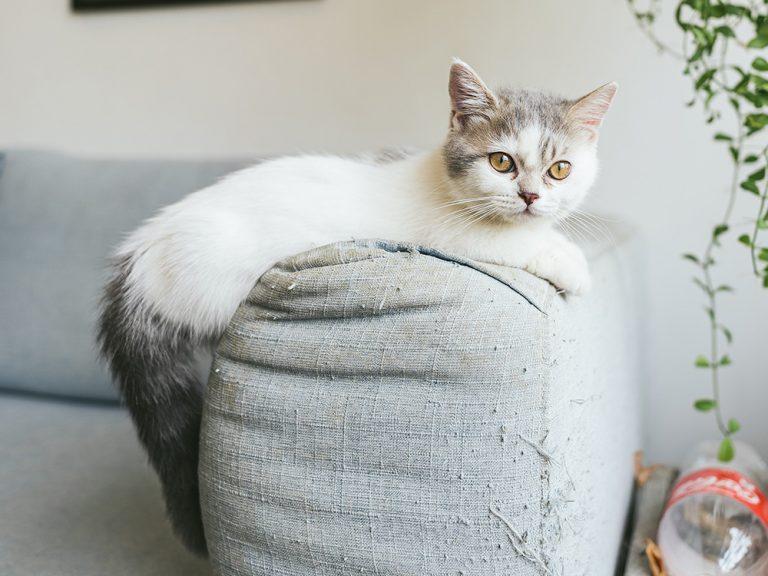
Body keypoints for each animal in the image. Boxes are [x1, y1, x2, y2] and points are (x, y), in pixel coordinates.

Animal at [99, 59, 616, 552]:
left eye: (560, 169)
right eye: (501, 161)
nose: (530, 196)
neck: (440, 182)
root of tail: (140, 254)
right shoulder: (452, 233)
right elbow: (509, 241)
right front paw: (570, 261)